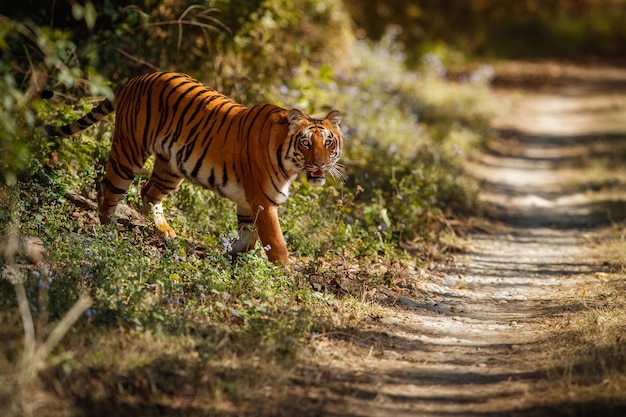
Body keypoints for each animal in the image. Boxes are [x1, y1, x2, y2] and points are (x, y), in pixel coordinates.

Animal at [46, 71, 344, 264]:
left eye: (328, 143)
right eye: (306, 143)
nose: (321, 163)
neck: (290, 164)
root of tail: (135, 79)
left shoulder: (248, 202)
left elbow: (249, 237)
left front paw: (230, 254)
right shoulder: (263, 200)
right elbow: (276, 244)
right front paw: (283, 275)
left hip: (171, 167)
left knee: (148, 192)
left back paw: (166, 233)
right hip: (129, 153)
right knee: (107, 191)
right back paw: (110, 234)